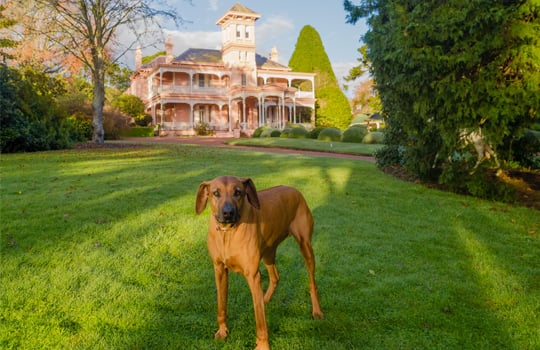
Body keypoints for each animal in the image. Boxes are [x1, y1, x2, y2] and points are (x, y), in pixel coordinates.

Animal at [196, 176, 322, 348]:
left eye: (238, 192)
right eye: (215, 193)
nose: (228, 212)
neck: (228, 233)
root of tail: (293, 189)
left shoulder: (253, 275)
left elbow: (261, 322)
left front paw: (262, 345)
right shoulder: (219, 270)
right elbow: (221, 307)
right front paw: (222, 331)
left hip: (306, 247)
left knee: (312, 283)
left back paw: (317, 311)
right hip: (268, 252)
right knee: (275, 277)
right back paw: (265, 299)